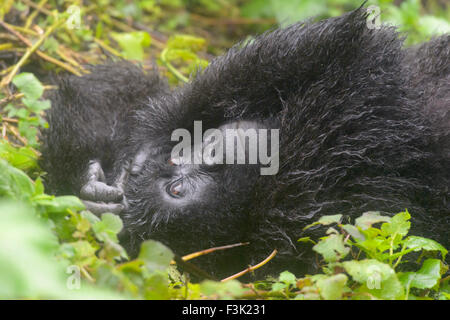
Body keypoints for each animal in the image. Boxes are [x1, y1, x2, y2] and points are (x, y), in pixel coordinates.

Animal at [40, 6, 448, 278]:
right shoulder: (310, 210)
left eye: (172, 170)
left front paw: (138, 152)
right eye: (176, 190)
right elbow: (356, 66)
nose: (213, 156)